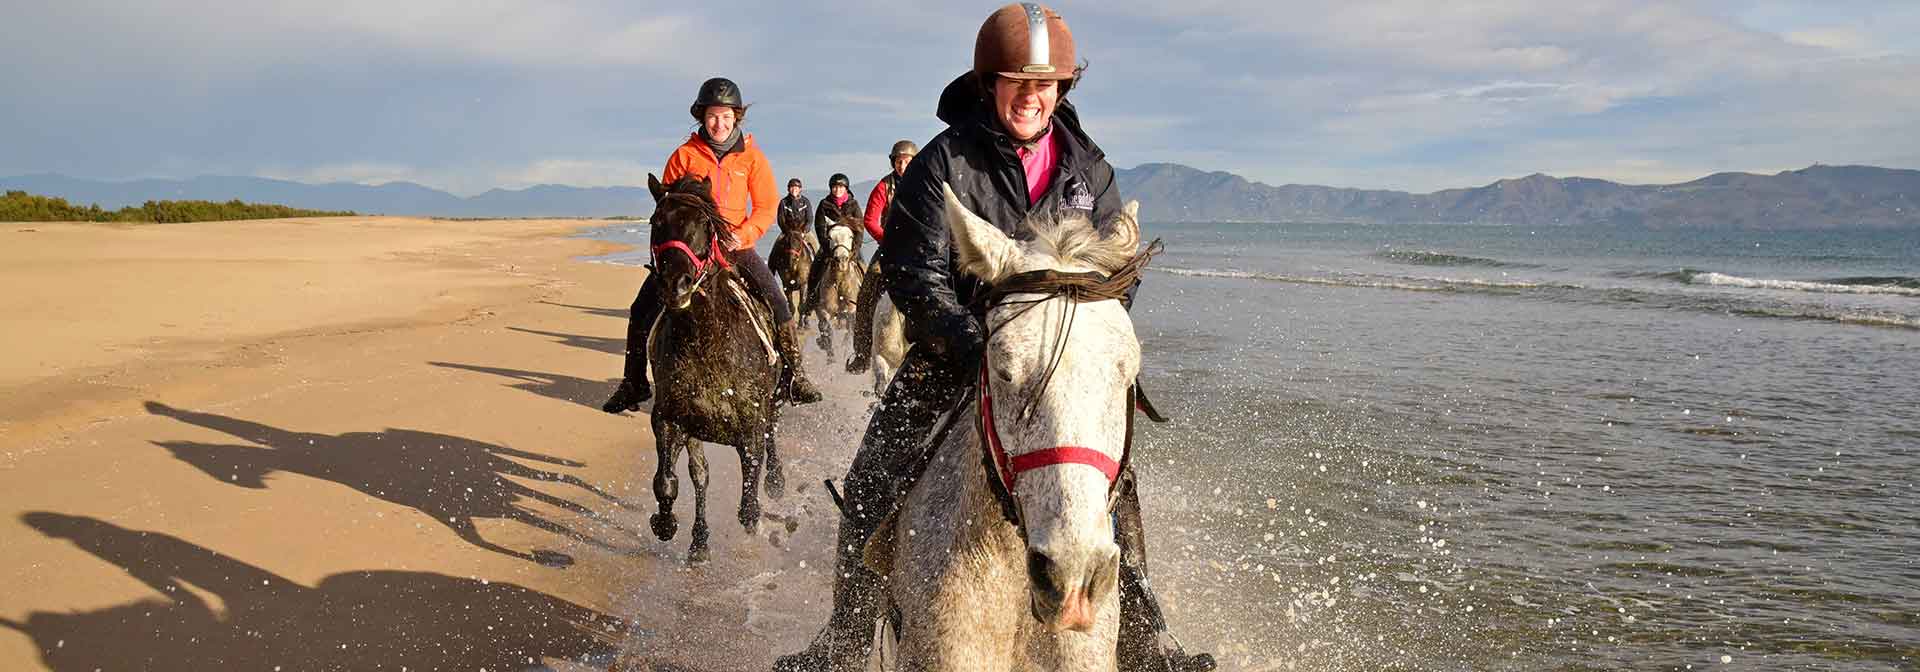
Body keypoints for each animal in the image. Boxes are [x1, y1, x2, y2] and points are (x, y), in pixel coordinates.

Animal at [641, 171, 783, 560]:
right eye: (656, 222)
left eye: (705, 224)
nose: (676, 286)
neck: (706, 342)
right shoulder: (671, 420)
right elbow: (671, 481)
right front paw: (668, 526)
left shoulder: (751, 428)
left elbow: (749, 504)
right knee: (699, 476)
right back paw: (699, 542)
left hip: (774, 401)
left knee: (773, 436)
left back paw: (776, 480)